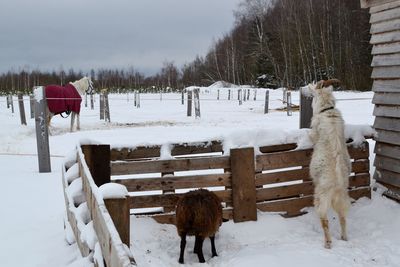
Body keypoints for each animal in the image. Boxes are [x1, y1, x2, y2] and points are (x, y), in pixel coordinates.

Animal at [308, 79, 352, 249]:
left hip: (321, 197)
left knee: (325, 220)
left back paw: (327, 243)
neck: (327, 111)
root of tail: (338, 183)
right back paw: (344, 238)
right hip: (342, 198)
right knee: (343, 218)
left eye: (313, 95)